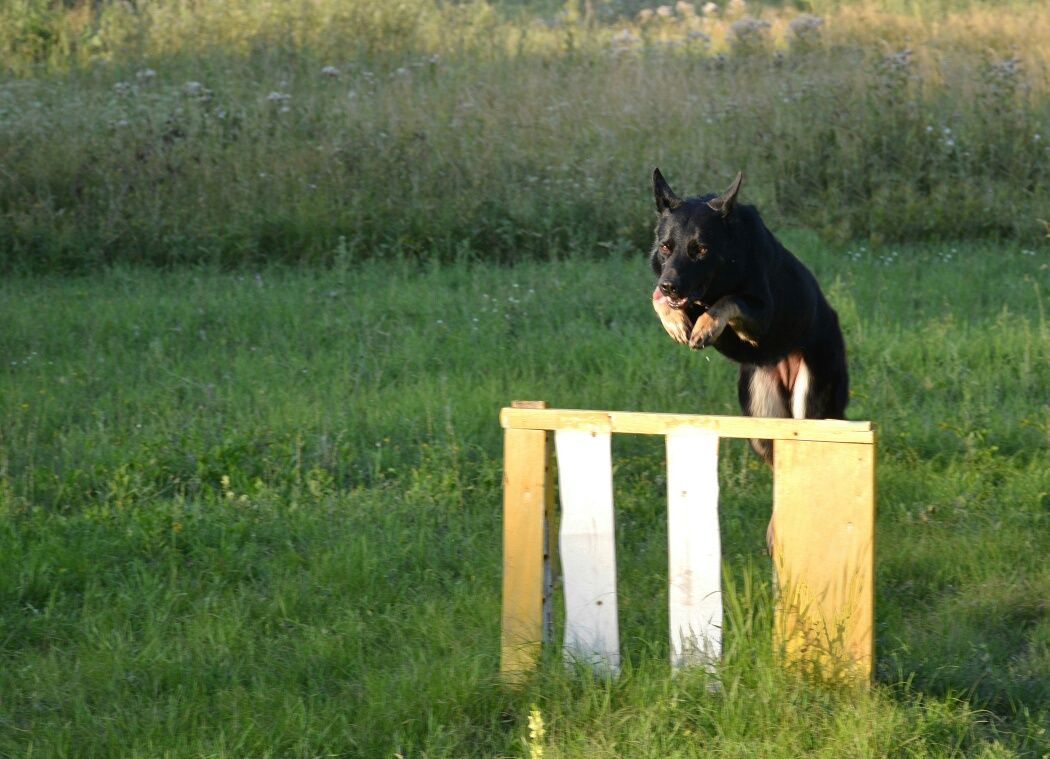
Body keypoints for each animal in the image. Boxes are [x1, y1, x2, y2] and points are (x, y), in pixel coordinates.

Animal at [642, 169, 848, 464]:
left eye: (701, 249)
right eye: (665, 247)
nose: (669, 285)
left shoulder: (761, 317)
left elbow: (730, 299)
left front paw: (705, 326)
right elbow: (656, 297)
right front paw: (675, 321)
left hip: (812, 404)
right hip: (761, 418)